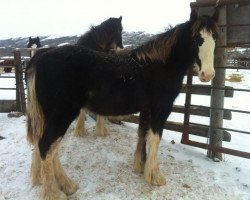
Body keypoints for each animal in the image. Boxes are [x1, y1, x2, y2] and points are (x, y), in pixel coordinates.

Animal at [24, 9, 217, 200]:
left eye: (215, 37)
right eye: (197, 39)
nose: (207, 75)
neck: (158, 65)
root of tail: (38, 60)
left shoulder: (146, 109)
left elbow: (142, 134)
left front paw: (140, 167)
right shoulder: (160, 109)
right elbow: (154, 139)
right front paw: (155, 176)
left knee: (49, 148)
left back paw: (67, 185)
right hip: (62, 115)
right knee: (46, 147)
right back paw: (54, 193)